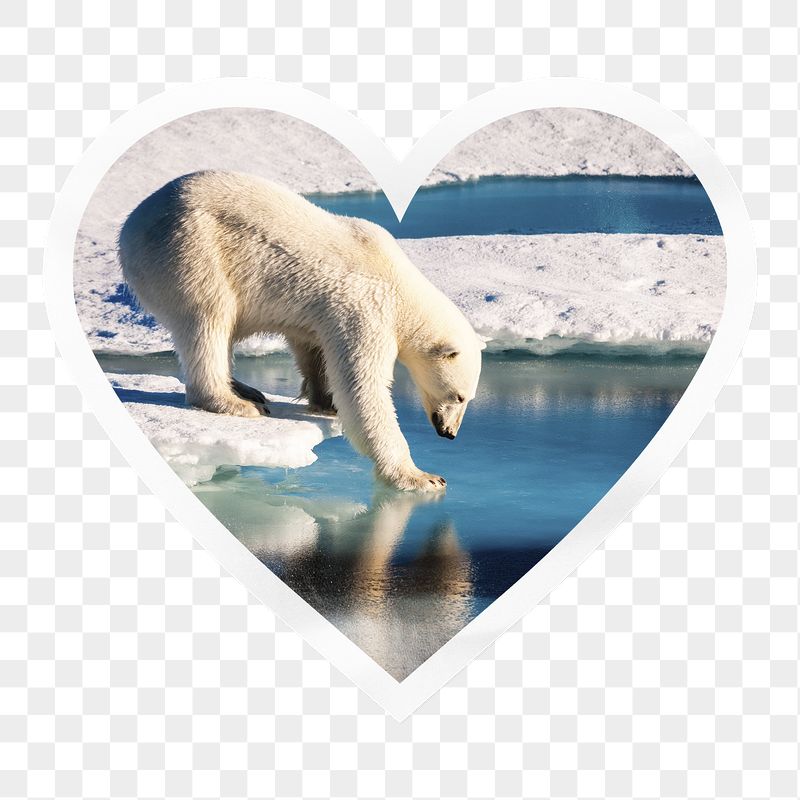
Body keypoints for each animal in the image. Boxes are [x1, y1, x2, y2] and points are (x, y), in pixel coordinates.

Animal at [118, 170, 484, 491]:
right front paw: (422, 477)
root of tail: (131, 225)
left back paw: (246, 389)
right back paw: (235, 402)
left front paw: (325, 401)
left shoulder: (323, 313)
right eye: (459, 396)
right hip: (190, 249)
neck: (400, 285)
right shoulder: (366, 309)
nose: (449, 433)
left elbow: (313, 348)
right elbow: (363, 388)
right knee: (209, 318)